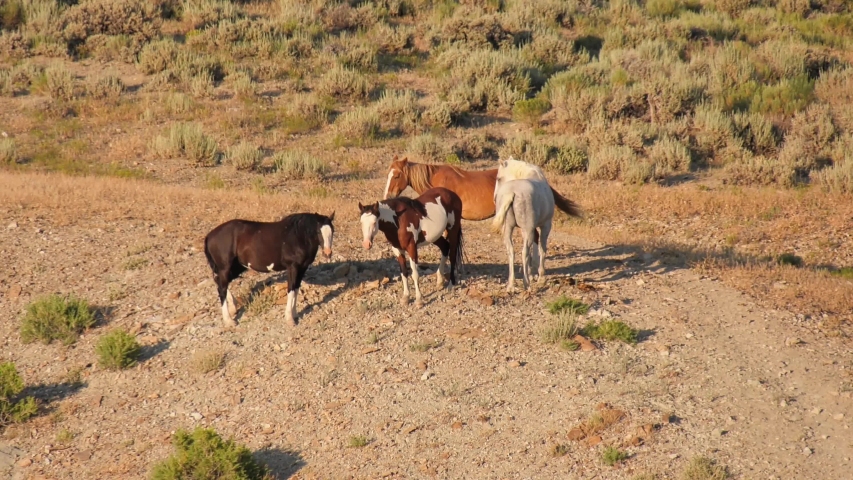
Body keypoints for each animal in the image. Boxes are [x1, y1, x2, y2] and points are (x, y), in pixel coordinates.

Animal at [203, 212, 335, 327]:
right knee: (222, 289)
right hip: (225, 268)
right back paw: (229, 321)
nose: (327, 253)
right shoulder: (293, 268)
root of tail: (209, 236)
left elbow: (296, 290)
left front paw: (295, 314)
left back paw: (233, 306)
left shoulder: (302, 269)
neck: (298, 236)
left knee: (219, 282)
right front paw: (289, 319)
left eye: (332, 231)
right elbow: (291, 290)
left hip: (234, 268)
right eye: (318, 231)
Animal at [492, 160, 555, 292]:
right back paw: (526, 283)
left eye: (498, 178)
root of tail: (512, 192)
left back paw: (511, 284)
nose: (494, 199)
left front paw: (532, 272)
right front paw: (541, 276)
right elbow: (542, 248)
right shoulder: (546, 225)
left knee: (511, 251)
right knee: (524, 252)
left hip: (508, 229)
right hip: (529, 229)